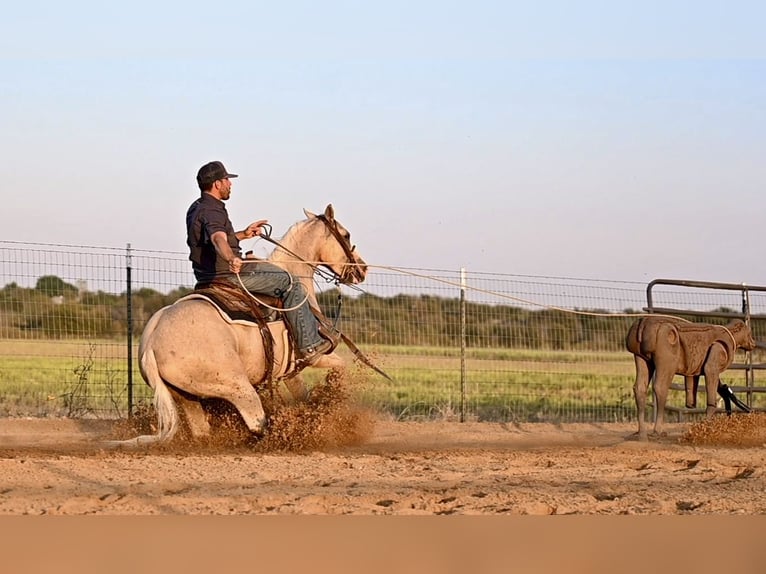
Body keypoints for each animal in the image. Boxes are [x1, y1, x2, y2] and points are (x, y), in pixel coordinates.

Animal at [110, 205, 368, 448]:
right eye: (346, 235)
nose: (362, 269)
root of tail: (151, 345)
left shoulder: (289, 371)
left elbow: (302, 394)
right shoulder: (315, 357)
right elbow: (340, 366)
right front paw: (332, 396)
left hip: (185, 396)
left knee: (202, 431)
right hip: (237, 387)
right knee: (256, 423)